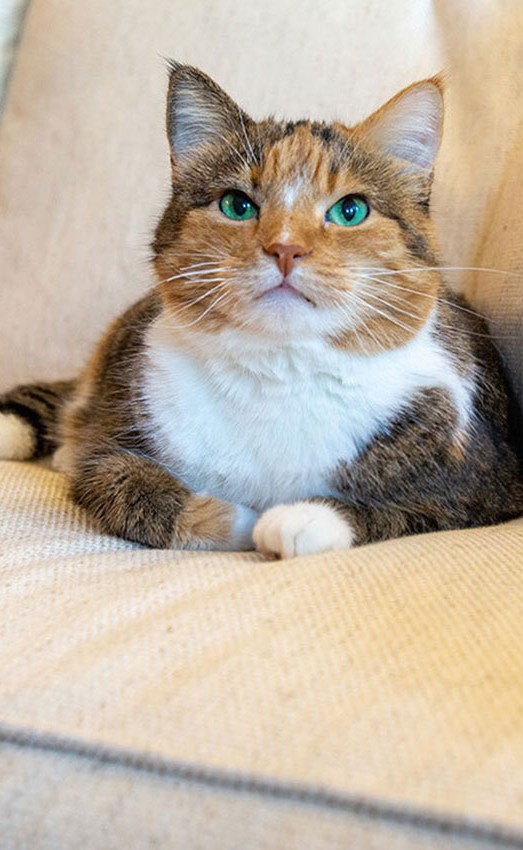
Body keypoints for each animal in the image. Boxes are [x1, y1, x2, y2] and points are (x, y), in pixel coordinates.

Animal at [1, 63, 523, 552]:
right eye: (237, 205)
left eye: (350, 210)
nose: (285, 248)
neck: (280, 370)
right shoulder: (113, 441)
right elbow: (122, 484)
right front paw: (236, 518)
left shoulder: (491, 478)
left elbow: (413, 509)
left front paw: (299, 519)